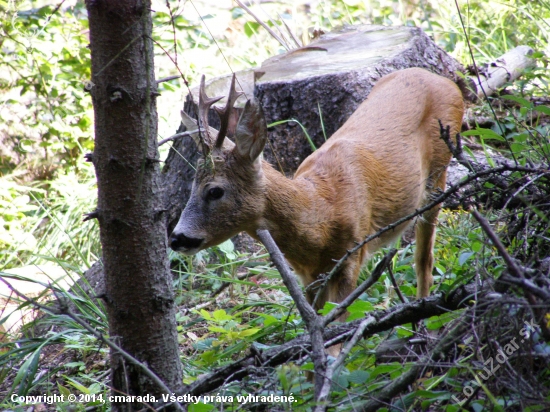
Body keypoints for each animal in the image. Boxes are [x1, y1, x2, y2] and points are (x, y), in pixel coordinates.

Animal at [171, 68, 466, 318]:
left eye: (215, 191)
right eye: (191, 187)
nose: (176, 238)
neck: (320, 212)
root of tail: (447, 82)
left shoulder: (351, 258)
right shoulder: (309, 276)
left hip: (438, 173)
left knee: (424, 261)